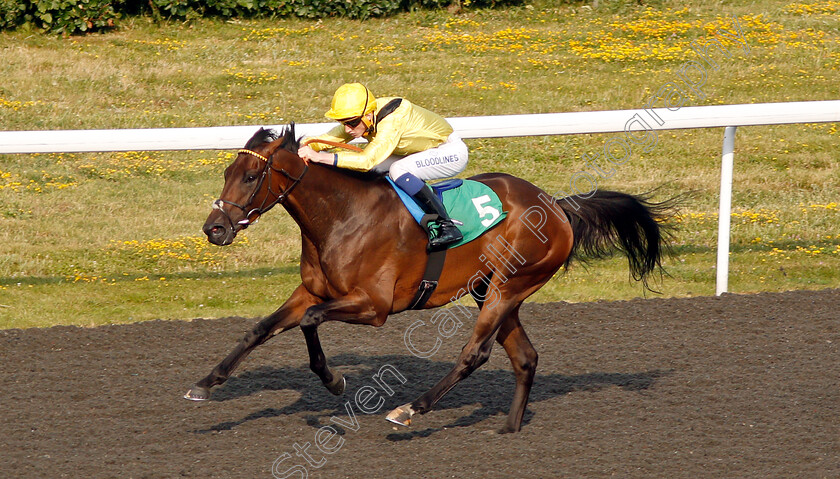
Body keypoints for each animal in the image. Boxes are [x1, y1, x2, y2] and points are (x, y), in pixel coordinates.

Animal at [185, 124, 676, 436]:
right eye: (226, 174)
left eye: (251, 176)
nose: (214, 229)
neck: (342, 216)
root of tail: (555, 204)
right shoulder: (311, 291)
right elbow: (260, 329)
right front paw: (205, 384)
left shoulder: (375, 306)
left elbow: (310, 323)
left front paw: (334, 380)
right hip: (492, 289)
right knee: (525, 357)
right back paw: (509, 429)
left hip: (508, 286)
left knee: (474, 353)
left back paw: (409, 410)